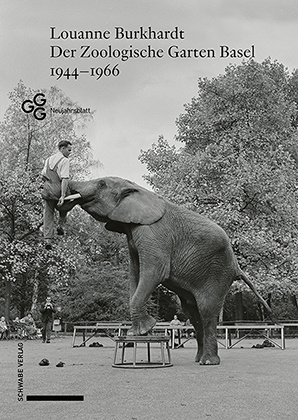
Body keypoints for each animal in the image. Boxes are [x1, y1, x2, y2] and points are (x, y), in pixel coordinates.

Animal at [58, 177, 272, 364]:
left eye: (102, 184)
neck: (138, 190)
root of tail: (237, 266)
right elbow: (134, 276)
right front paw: (137, 333)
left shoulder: (154, 233)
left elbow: (154, 272)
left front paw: (144, 330)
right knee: (192, 312)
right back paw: (197, 359)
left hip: (218, 272)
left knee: (206, 311)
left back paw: (208, 362)